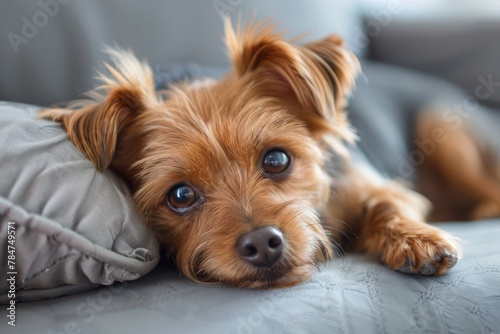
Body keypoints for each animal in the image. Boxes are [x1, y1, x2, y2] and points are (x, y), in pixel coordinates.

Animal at [40, 19, 500, 288]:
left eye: (277, 160)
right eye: (180, 196)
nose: (262, 243)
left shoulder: (370, 183)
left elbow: (387, 204)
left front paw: (416, 238)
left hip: (446, 133)